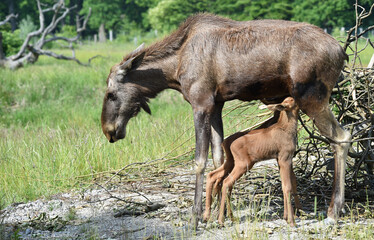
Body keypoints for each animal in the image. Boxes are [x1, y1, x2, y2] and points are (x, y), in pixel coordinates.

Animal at [203, 96, 302, 226]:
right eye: (292, 101)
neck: (288, 129)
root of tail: (225, 143)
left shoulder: (282, 159)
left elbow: (290, 182)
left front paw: (290, 215)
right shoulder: (284, 158)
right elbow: (287, 186)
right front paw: (291, 220)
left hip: (230, 162)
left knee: (213, 175)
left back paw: (211, 216)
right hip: (243, 164)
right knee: (226, 182)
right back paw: (221, 219)